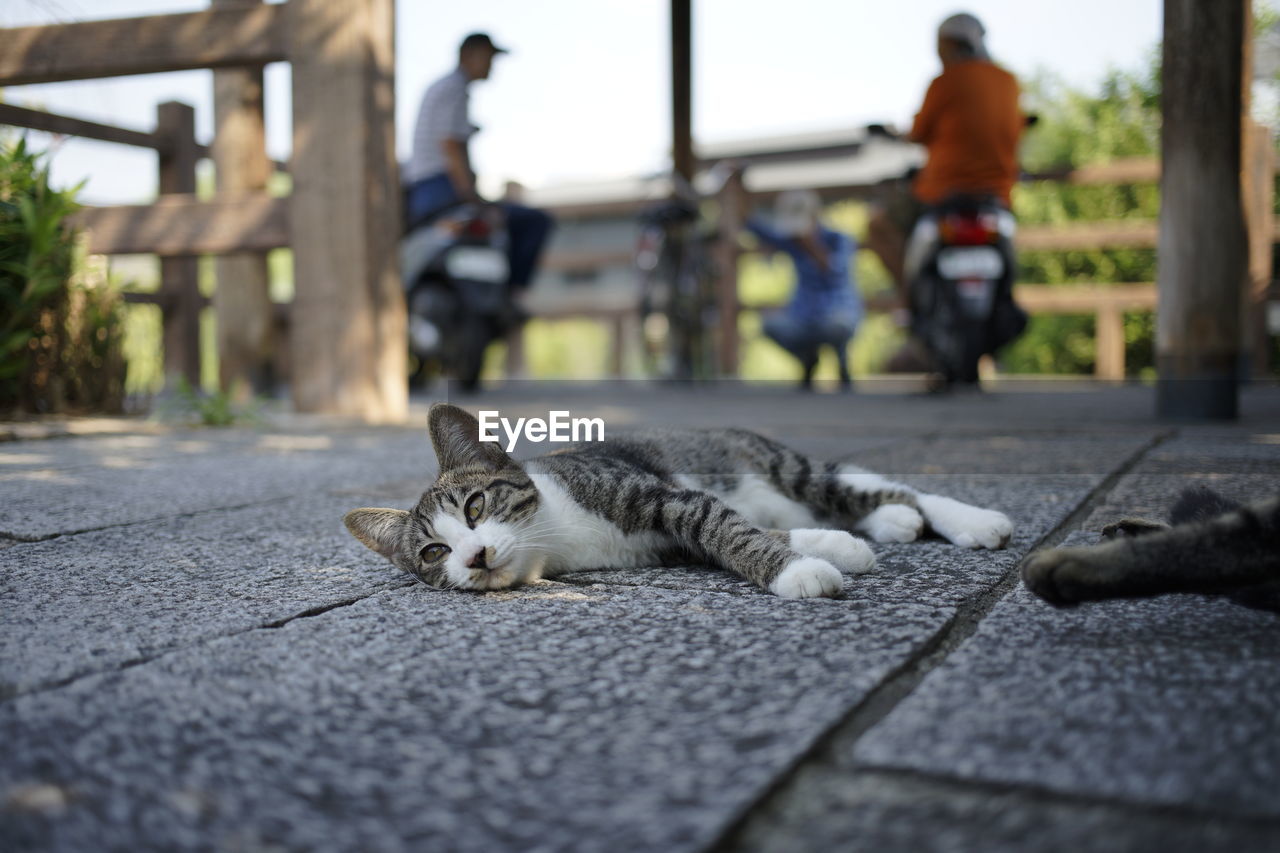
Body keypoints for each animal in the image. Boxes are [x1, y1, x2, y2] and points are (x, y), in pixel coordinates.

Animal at [345, 399, 1013, 594]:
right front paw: (832, 550)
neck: (554, 535)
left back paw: (970, 520)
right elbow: (745, 531)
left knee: (886, 485)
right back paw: (891, 522)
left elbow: (726, 528)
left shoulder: (662, 495)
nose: (474, 556)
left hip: (786, 466)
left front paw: (798, 573)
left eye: (476, 507)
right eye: (433, 553)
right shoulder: (661, 544)